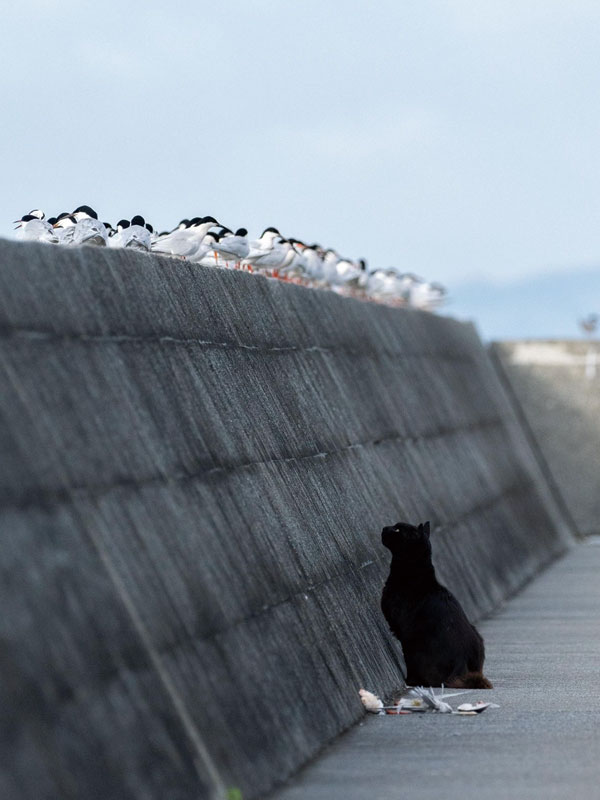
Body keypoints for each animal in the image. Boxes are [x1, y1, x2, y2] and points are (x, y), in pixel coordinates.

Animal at [382, 524, 490, 688]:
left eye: (397, 530)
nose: (384, 528)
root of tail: (462, 659)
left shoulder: (403, 632)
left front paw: (409, 681)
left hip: (416, 645)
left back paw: (413, 681)